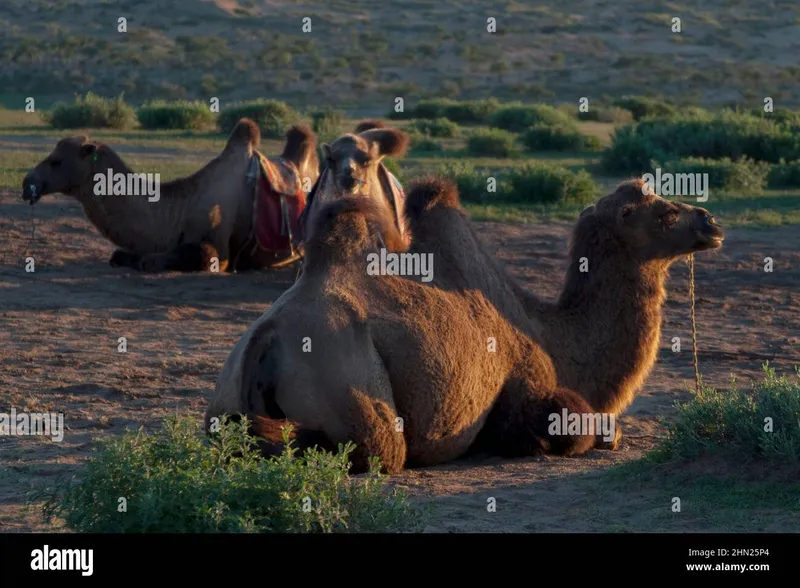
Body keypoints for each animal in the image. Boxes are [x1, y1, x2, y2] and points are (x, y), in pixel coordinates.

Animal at [20, 120, 318, 276]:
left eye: (56, 161)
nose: (28, 183)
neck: (179, 212)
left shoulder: (220, 252)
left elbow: (159, 260)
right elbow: (119, 254)